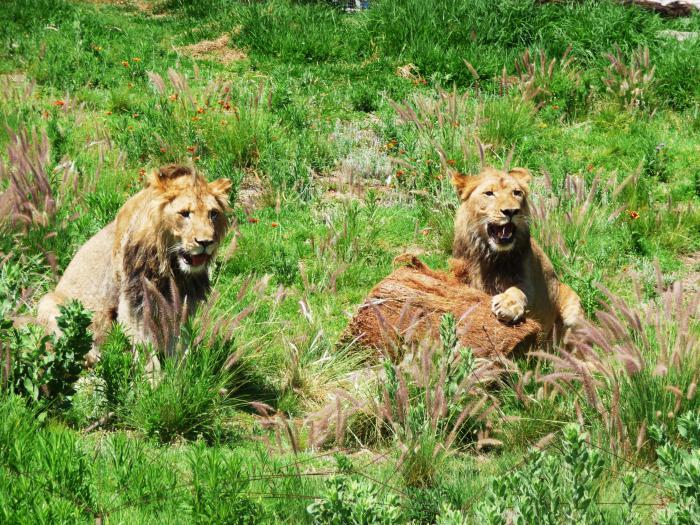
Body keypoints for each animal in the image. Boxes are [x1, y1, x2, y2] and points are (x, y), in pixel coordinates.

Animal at [37, 165, 232, 360]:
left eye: (213, 214)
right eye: (184, 214)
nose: (206, 242)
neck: (171, 267)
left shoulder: (183, 300)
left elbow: (178, 341)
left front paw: (178, 365)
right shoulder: (135, 298)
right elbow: (144, 343)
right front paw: (152, 368)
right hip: (47, 302)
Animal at [452, 166, 584, 342]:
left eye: (516, 193)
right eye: (489, 193)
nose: (511, 211)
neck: (489, 255)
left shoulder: (526, 279)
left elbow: (518, 290)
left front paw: (508, 305)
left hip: (572, 313)